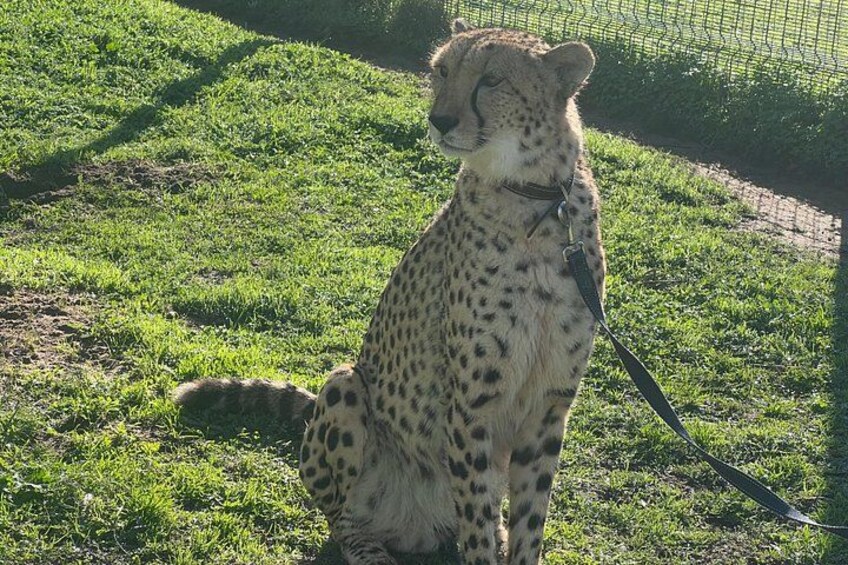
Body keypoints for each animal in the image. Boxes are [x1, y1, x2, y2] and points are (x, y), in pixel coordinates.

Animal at [173, 18, 606, 565]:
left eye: (492, 80)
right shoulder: (471, 407)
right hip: (344, 386)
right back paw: (368, 548)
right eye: (441, 70)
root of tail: (418, 528)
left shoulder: (549, 406)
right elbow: (478, 525)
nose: (439, 119)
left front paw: (518, 542)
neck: (538, 202)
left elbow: (529, 520)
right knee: (342, 515)